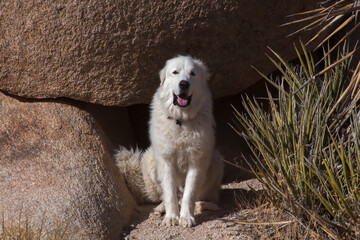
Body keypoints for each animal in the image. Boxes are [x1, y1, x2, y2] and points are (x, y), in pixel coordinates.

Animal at [114, 55, 222, 227]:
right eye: (175, 72)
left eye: (192, 73)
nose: (183, 84)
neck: (181, 120)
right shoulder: (166, 160)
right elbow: (170, 193)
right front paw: (171, 217)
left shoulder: (197, 161)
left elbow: (190, 194)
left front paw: (186, 217)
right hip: (149, 159)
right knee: (167, 196)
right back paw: (160, 209)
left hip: (216, 161)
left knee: (201, 198)